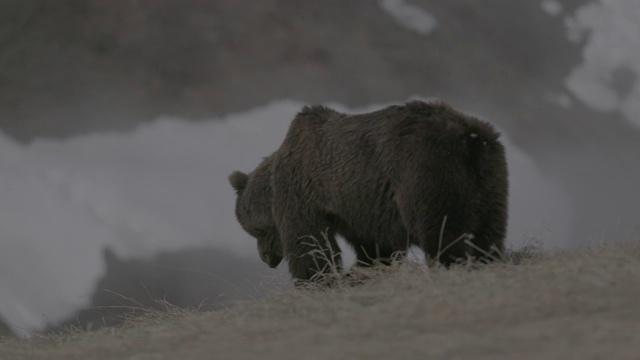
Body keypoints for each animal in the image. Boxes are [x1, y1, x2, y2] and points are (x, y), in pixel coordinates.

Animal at [230, 100, 510, 282]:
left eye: (254, 230)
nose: (266, 257)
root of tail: (468, 138)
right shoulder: (364, 209)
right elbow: (376, 250)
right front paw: (359, 273)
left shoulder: (304, 195)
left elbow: (309, 244)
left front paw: (316, 279)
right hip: (490, 179)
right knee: (489, 234)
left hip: (426, 172)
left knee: (443, 233)